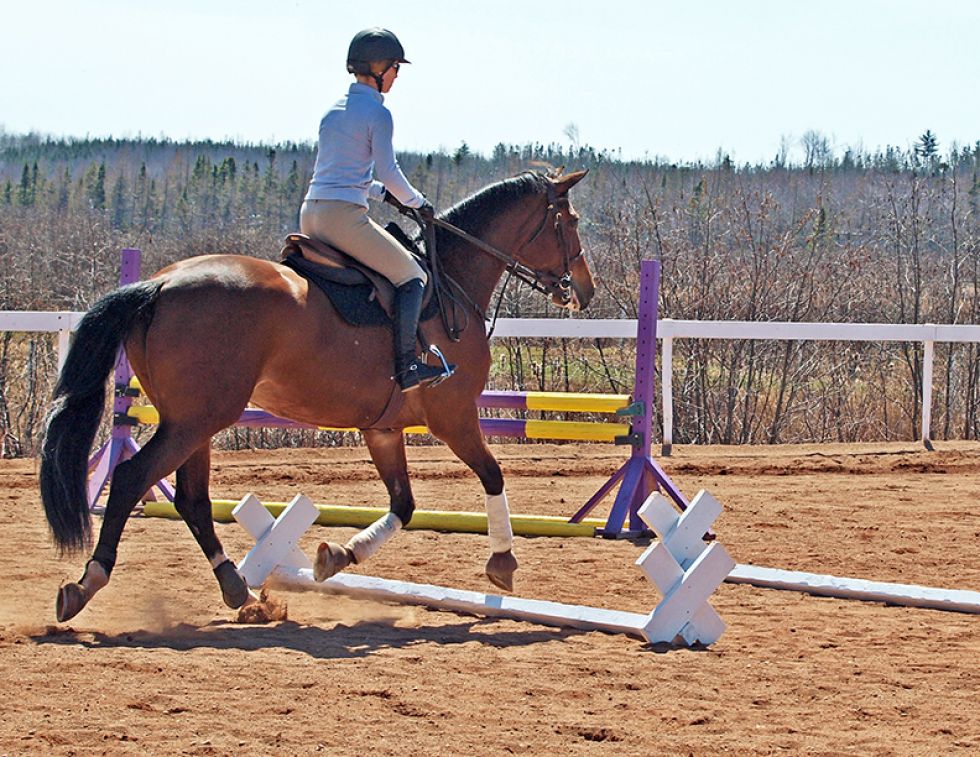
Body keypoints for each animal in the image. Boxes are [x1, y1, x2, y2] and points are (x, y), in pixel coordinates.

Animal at [38, 170, 592, 620]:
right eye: (571, 221)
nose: (582, 291)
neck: (449, 281)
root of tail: (159, 284)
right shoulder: (452, 415)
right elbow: (492, 475)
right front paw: (503, 562)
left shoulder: (383, 428)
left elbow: (404, 504)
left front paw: (337, 557)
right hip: (197, 420)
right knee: (133, 478)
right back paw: (86, 584)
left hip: (194, 421)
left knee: (193, 501)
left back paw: (237, 589)